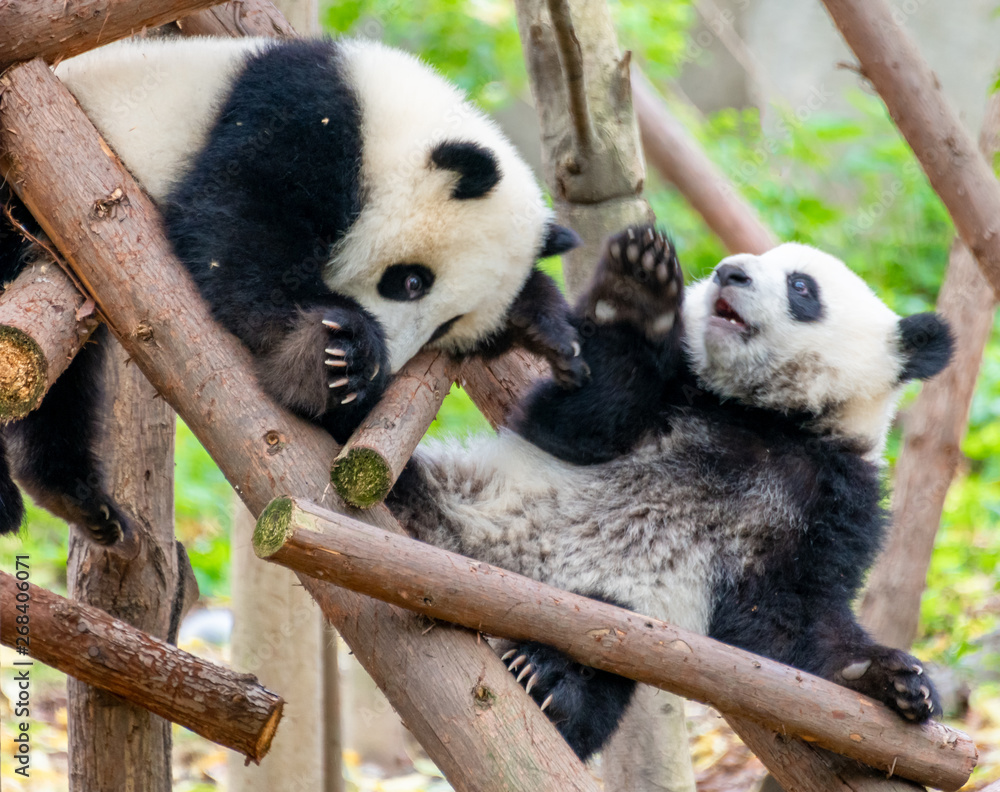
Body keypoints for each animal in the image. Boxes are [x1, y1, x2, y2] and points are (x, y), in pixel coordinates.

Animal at [0, 36, 584, 544]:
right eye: (413, 281)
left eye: (447, 326)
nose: (390, 371)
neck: (387, 118)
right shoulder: (297, 119)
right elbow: (236, 229)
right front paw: (337, 354)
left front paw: (548, 330)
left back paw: (74, 495)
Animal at [386, 224, 953, 760]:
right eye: (757, 260)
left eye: (801, 287)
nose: (729, 272)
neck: (764, 418)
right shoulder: (672, 392)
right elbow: (579, 420)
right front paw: (636, 291)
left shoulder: (835, 496)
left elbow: (792, 616)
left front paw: (890, 680)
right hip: (456, 498)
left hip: (612, 618)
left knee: (598, 676)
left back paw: (549, 682)